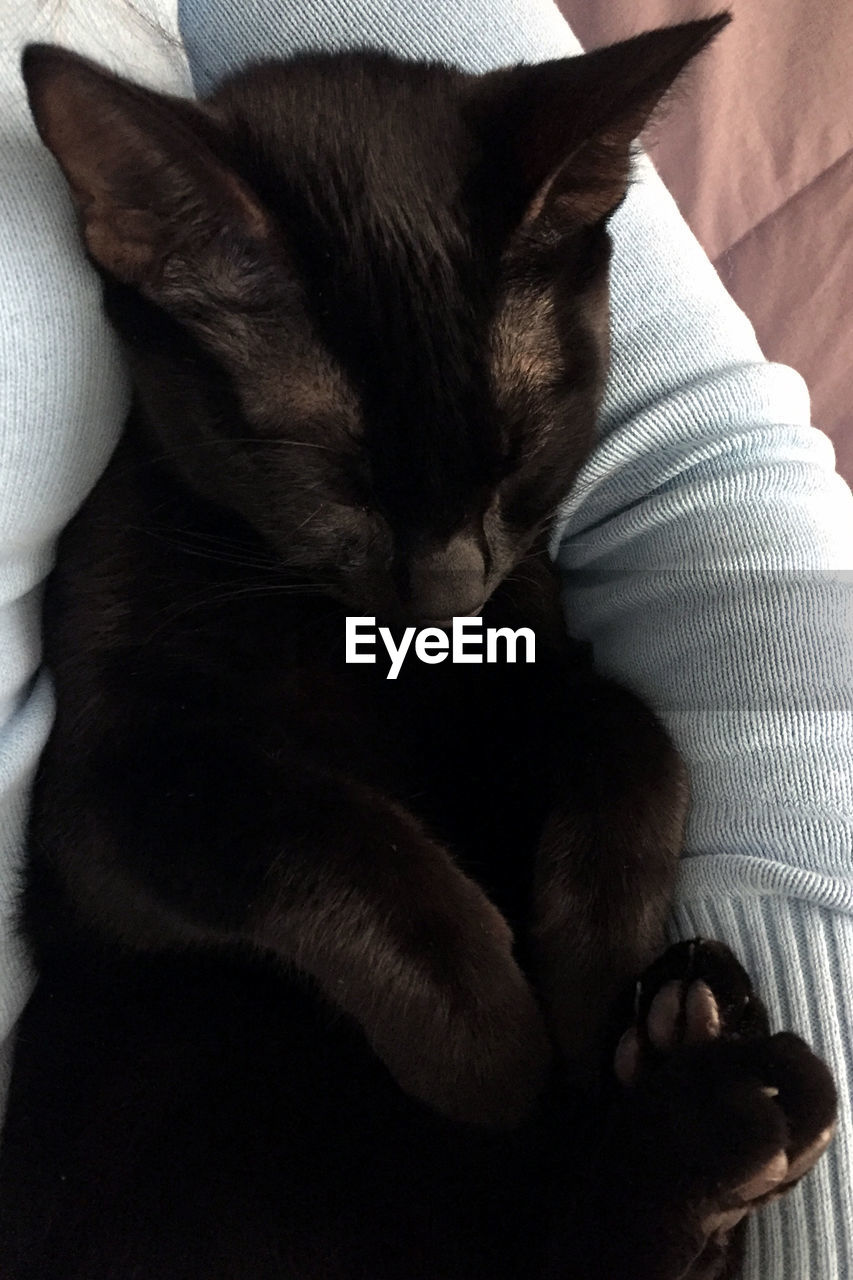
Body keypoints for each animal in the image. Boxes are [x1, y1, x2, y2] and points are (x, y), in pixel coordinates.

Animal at [0, 20, 835, 1280]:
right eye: (335, 480)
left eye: (521, 453)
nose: (444, 586)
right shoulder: (103, 790)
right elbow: (329, 835)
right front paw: (489, 1041)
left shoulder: (534, 657)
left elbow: (635, 736)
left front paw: (591, 975)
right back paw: (721, 1110)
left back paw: (679, 1046)